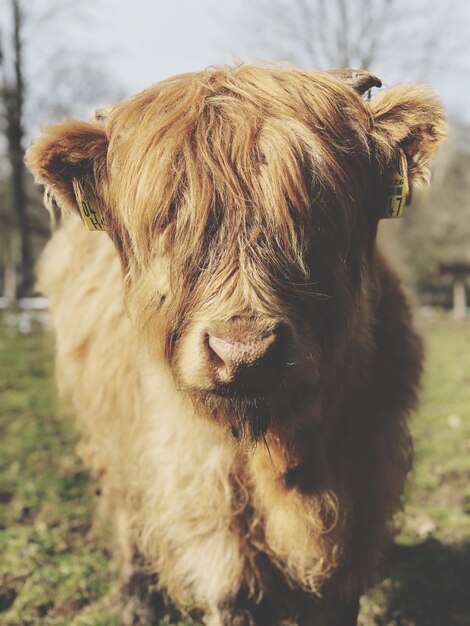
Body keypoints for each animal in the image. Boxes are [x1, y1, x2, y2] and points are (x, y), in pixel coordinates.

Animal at [25, 64, 444, 624]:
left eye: (316, 212)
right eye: (167, 221)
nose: (245, 353)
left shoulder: (360, 498)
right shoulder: (211, 514)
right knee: (126, 514)